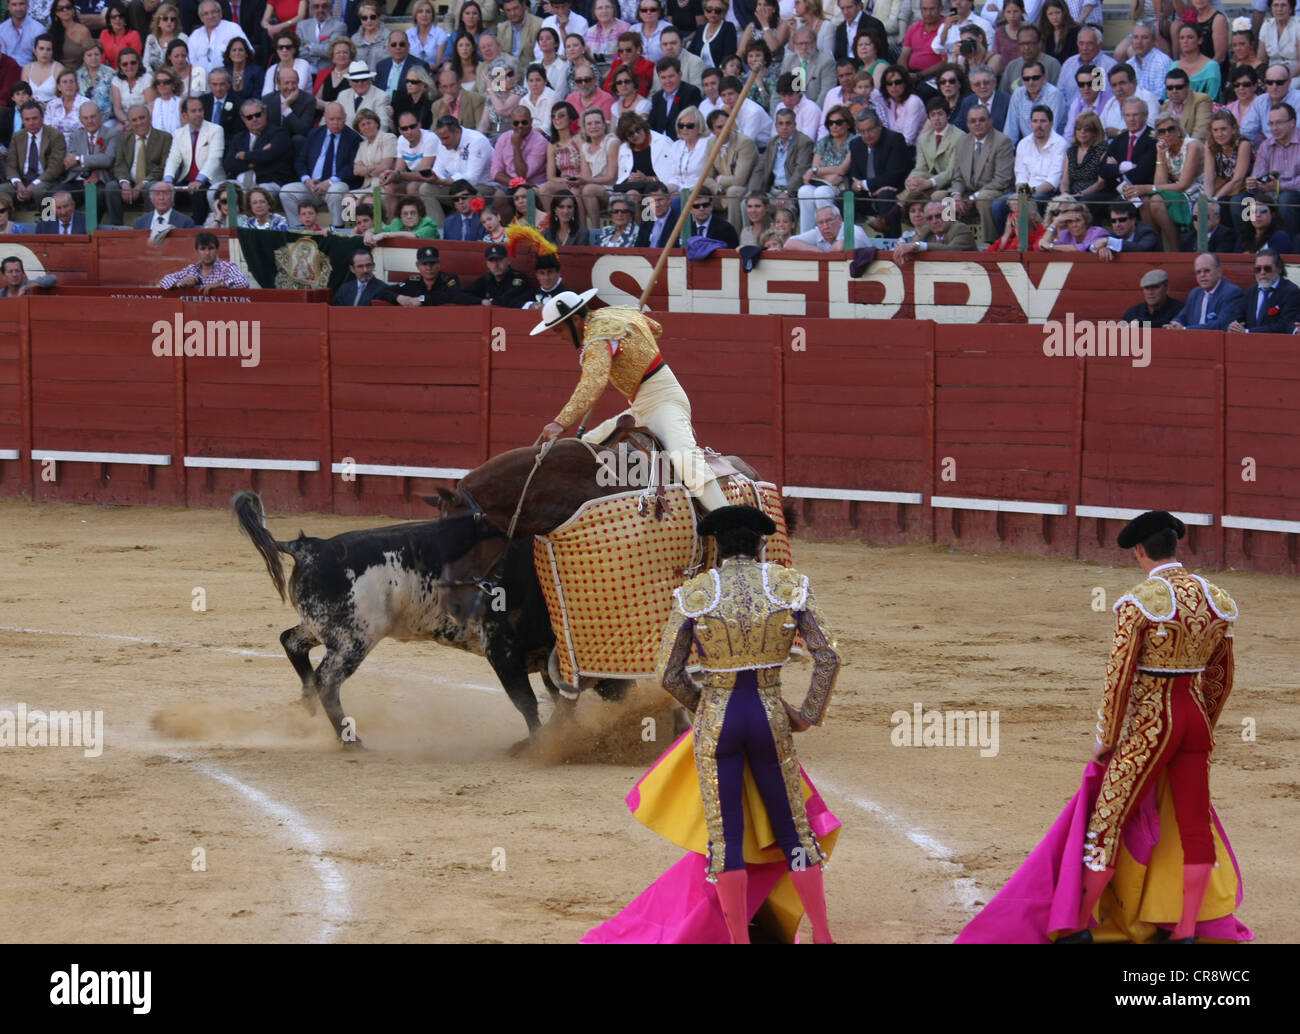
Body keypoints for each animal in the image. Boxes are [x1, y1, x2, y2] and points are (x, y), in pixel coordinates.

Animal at [231, 489, 582, 749]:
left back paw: (309, 706)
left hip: (324, 626)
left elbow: (560, 699)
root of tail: (309, 547)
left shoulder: (546, 659)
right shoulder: (502, 649)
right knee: (326, 679)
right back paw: (351, 740)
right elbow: (527, 702)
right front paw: (540, 743)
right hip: (354, 638)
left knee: (292, 642)